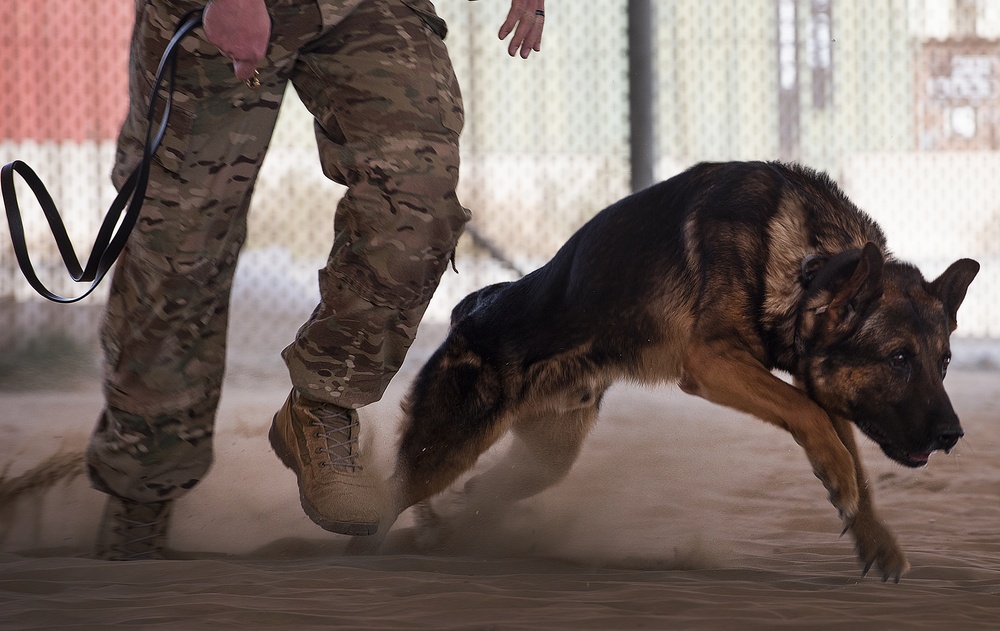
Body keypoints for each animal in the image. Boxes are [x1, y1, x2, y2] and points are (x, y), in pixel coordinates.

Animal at [358, 160, 976, 580]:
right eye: (899, 358)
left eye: (943, 362)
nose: (952, 435)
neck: (809, 267)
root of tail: (469, 310)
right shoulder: (714, 362)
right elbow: (809, 418)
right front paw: (839, 479)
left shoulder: (810, 381)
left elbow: (845, 449)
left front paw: (873, 535)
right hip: (444, 452)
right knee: (392, 498)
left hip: (543, 461)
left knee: (480, 490)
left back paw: (449, 534)